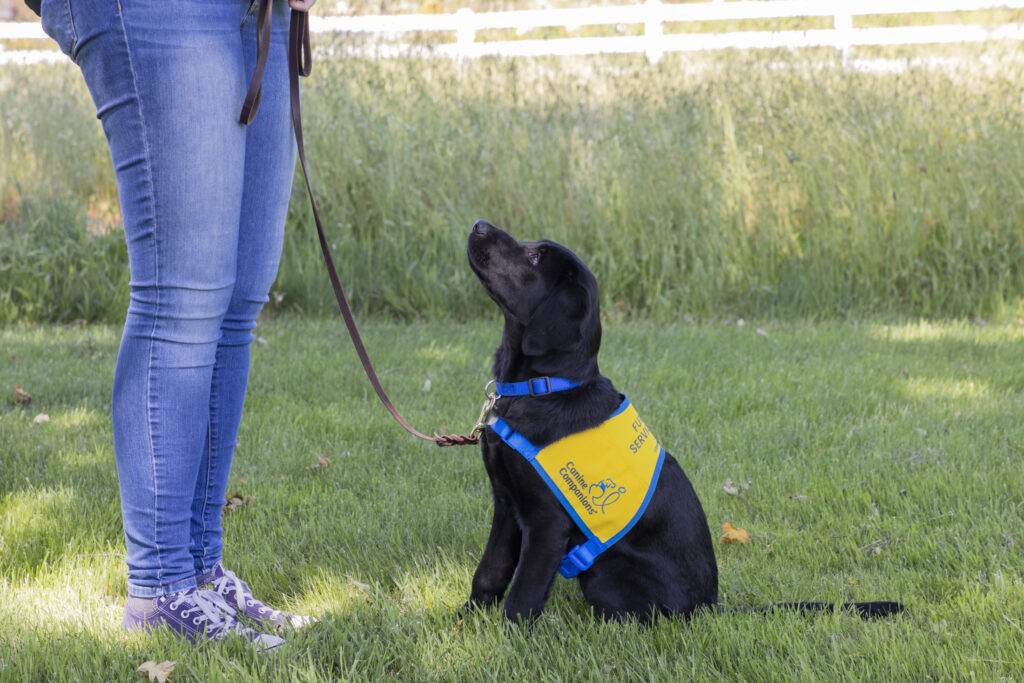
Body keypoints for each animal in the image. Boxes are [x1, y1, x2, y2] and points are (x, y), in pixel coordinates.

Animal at [464, 220, 905, 626]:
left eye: (535, 257)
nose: (479, 224)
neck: (543, 388)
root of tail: (709, 606)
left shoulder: (546, 523)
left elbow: (523, 594)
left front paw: (510, 641)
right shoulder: (506, 505)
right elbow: (490, 571)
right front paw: (467, 619)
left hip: (604, 573)